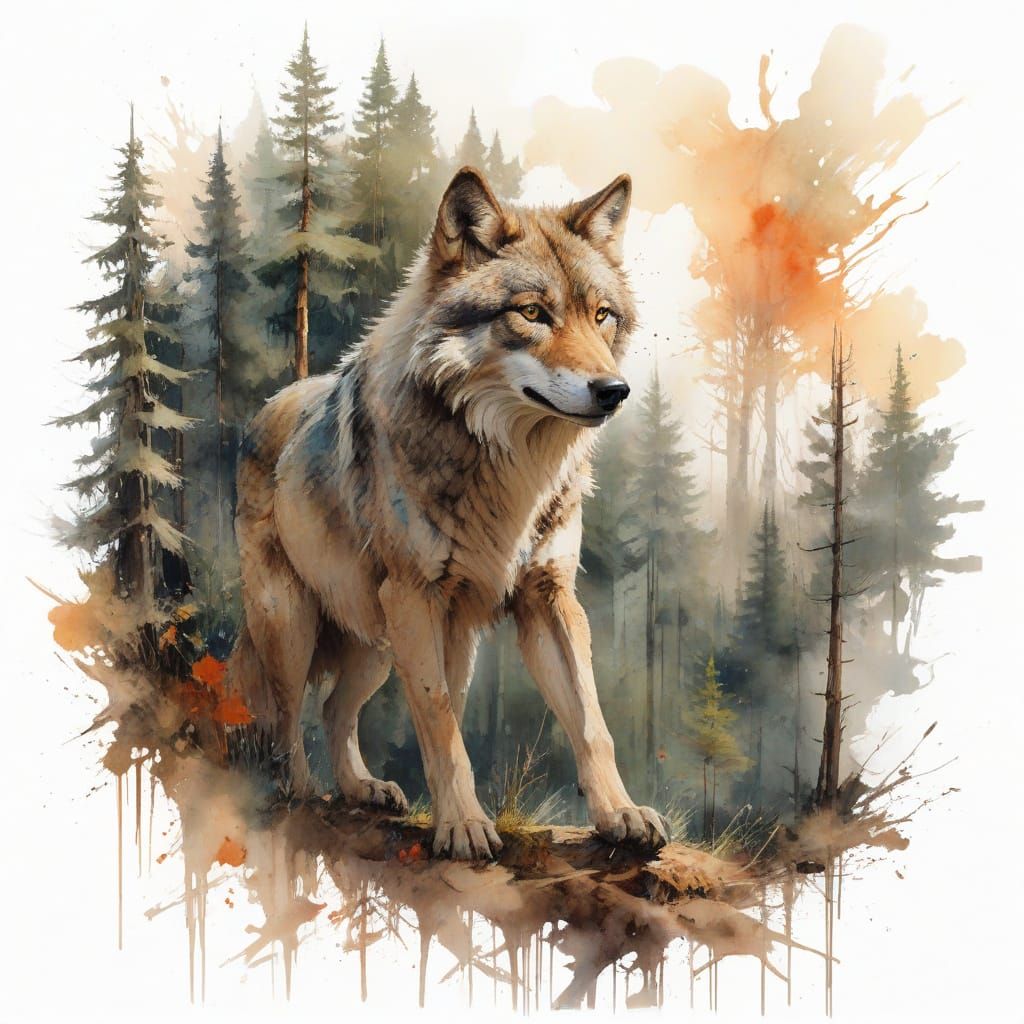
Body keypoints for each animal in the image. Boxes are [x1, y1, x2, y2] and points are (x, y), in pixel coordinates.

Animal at [226, 166, 669, 860]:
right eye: (532, 313)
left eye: (601, 315)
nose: (614, 391)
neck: (509, 470)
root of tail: (270, 404)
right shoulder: (414, 598)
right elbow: (438, 721)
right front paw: (462, 825)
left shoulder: (548, 598)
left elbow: (591, 722)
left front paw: (619, 814)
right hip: (295, 623)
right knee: (286, 716)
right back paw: (301, 793)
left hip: (382, 642)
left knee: (334, 710)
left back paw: (361, 789)